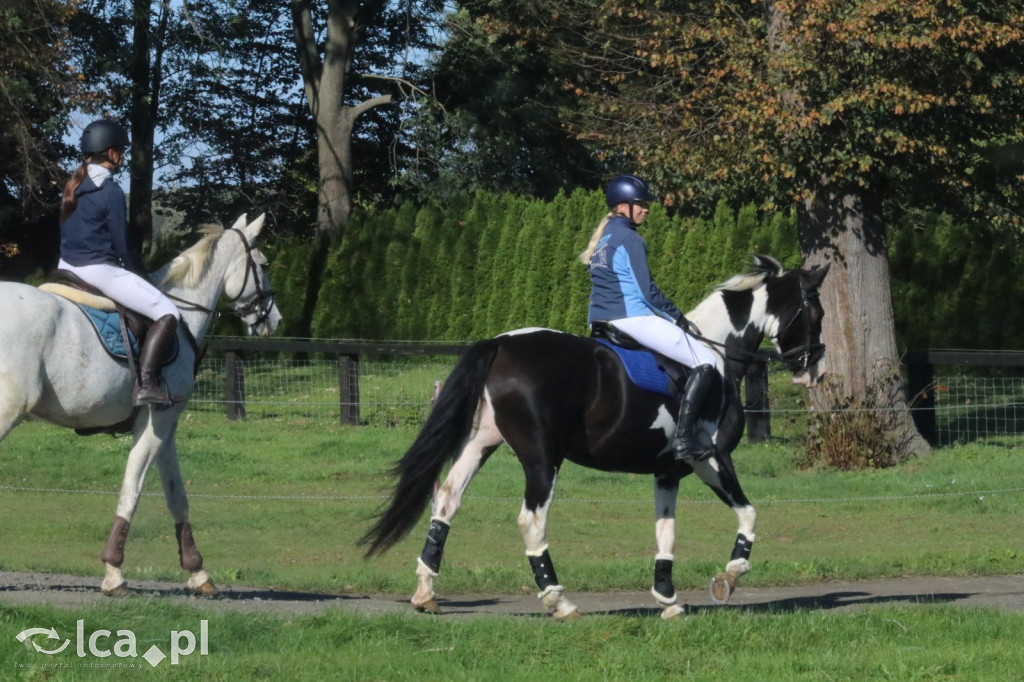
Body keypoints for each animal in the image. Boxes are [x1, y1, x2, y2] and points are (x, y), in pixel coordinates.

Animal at [0, 214, 280, 593]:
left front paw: (197, 571)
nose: (274, 320)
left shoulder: (168, 426)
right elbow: (132, 489)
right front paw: (114, 572)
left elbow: (177, 496)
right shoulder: (155, 420)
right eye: (263, 265)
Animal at [364, 253, 827, 614]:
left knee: (447, 500)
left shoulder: (668, 472)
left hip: (480, 444)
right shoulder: (710, 459)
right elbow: (749, 514)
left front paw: (667, 598)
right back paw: (558, 601)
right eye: (817, 314)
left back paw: (425, 592)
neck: (716, 351)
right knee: (531, 520)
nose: (815, 372)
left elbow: (666, 529)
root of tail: (502, 344)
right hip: (542, 458)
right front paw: (728, 578)